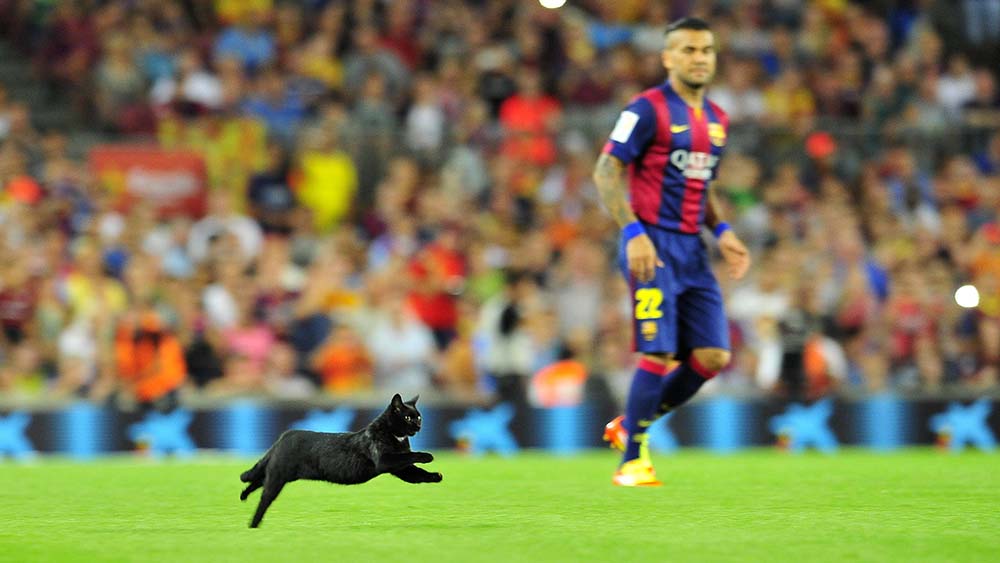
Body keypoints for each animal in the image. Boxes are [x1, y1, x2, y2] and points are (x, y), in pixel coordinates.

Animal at [238, 392, 442, 528]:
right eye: (408, 417)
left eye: (419, 417)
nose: (418, 426)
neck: (396, 437)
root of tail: (285, 435)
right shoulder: (386, 460)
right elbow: (410, 455)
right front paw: (427, 456)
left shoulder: (402, 469)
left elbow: (418, 474)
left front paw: (436, 476)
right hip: (279, 476)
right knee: (263, 499)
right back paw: (253, 525)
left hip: (279, 474)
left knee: (256, 480)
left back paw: (243, 496)